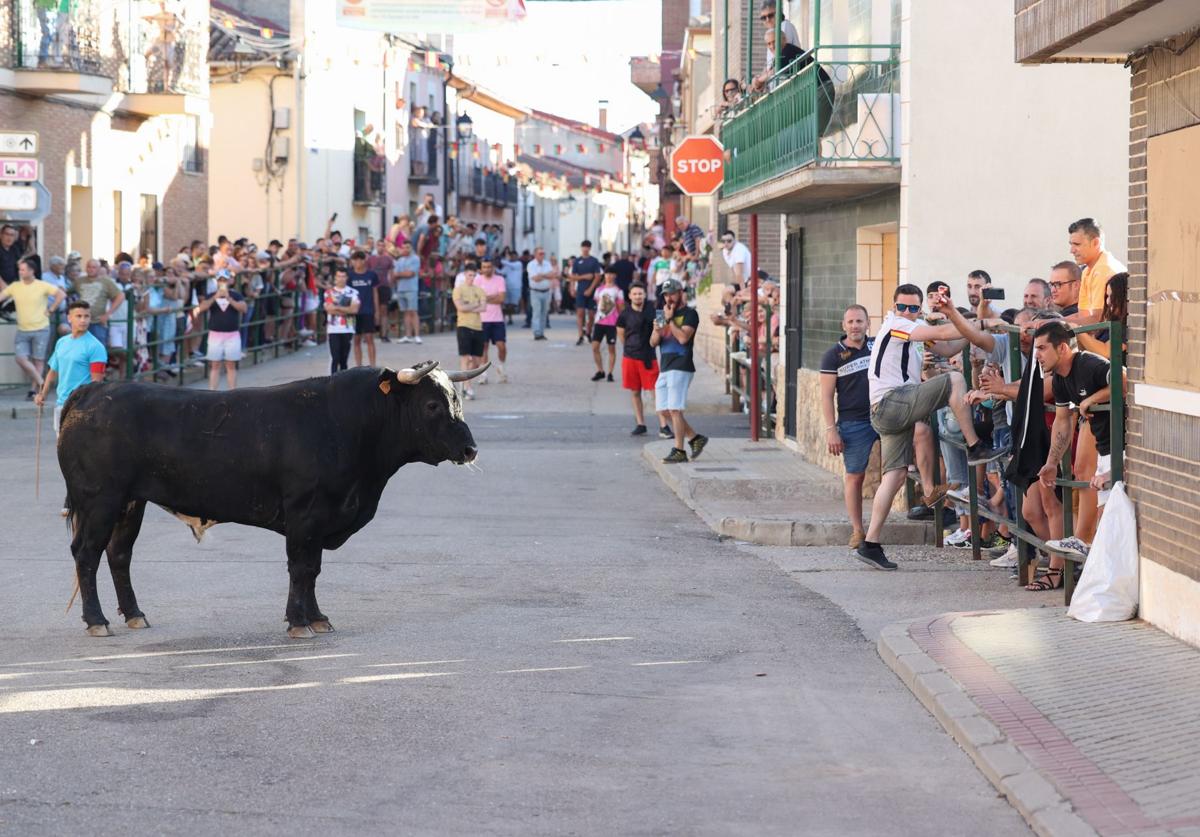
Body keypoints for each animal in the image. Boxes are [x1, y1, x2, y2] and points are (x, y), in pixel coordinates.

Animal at [56, 359, 487, 637]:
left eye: (457, 401)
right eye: (432, 404)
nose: (470, 449)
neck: (346, 423)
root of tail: (94, 390)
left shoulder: (319, 522)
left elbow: (312, 571)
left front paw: (317, 618)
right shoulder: (304, 515)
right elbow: (300, 568)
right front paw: (299, 623)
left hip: (131, 503)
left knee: (119, 554)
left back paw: (134, 615)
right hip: (100, 501)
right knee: (87, 554)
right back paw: (97, 621)